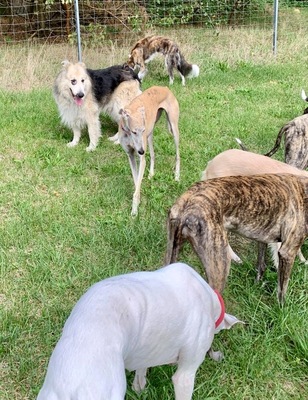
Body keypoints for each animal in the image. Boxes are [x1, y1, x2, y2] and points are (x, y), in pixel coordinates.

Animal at [118, 85, 180, 216]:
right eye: (134, 132)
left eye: (142, 130)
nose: (141, 151)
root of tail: (165, 87)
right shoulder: (130, 155)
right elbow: (137, 180)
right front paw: (138, 201)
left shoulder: (141, 157)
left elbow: (137, 185)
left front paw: (134, 211)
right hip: (150, 133)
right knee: (152, 154)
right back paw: (151, 173)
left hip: (173, 128)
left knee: (178, 155)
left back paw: (177, 176)